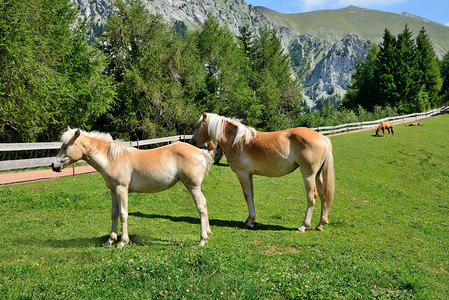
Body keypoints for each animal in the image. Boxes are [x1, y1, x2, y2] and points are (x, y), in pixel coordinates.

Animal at [51, 127, 213, 247]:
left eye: (65, 146)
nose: (53, 165)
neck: (112, 159)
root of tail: (200, 151)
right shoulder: (113, 191)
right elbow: (114, 214)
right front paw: (110, 240)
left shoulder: (122, 190)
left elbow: (123, 214)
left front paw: (123, 242)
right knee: (204, 204)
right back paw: (208, 233)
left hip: (193, 186)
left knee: (201, 206)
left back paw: (202, 240)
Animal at [188, 112, 332, 232]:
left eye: (197, 126)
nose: (191, 142)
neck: (237, 140)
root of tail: (322, 138)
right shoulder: (249, 174)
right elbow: (251, 195)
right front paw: (250, 219)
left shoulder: (242, 173)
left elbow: (247, 195)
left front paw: (250, 221)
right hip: (318, 175)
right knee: (323, 196)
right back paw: (320, 224)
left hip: (308, 174)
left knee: (312, 197)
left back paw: (303, 226)